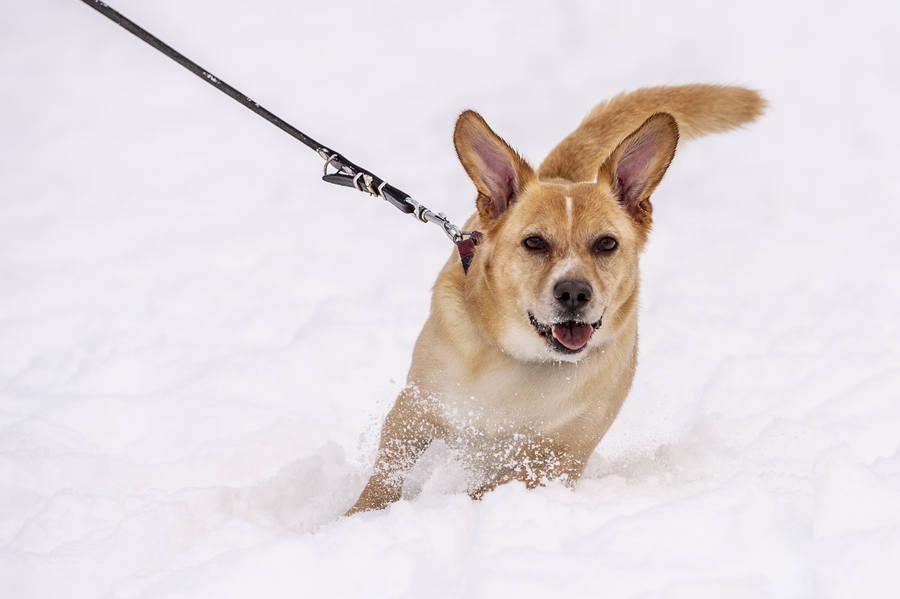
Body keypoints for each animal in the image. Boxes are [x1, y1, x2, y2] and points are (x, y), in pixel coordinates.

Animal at [348, 84, 764, 516]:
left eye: (606, 244)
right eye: (534, 242)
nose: (574, 292)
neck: (519, 359)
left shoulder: (557, 462)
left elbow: (485, 491)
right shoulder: (414, 411)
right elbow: (385, 477)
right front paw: (360, 516)